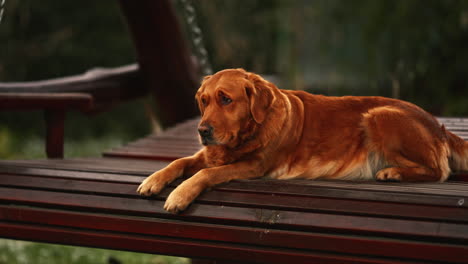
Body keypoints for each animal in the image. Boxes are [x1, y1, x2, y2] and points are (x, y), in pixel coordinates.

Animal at [138, 68, 468, 212]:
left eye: (226, 99)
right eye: (203, 101)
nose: (202, 131)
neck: (250, 132)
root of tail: (438, 125)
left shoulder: (254, 165)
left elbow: (206, 173)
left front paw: (179, 195)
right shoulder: (208, 153)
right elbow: (180, 161)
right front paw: (153, 179)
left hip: (378, 115)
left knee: (439, 171)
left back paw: (393, 172)